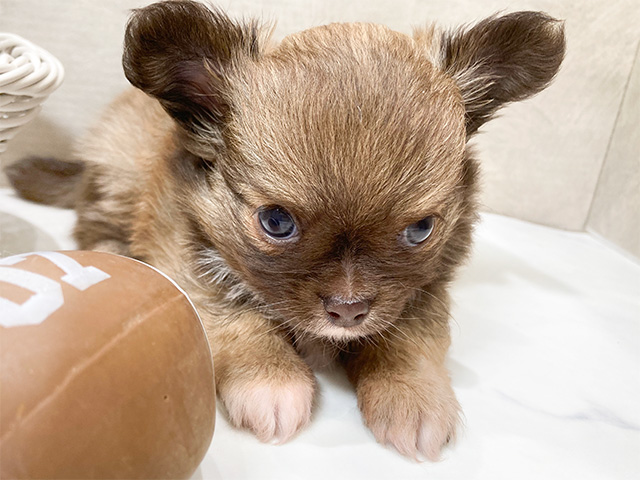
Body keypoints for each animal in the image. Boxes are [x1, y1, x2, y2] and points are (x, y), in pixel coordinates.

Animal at [6, 0, 564, 460]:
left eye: (421, 229)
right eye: (276, 222)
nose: (348, 310)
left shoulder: (422, 289)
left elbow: (409, 336)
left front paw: (413, 397)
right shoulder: (187, 260)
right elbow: (240, 317)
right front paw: (272, 381)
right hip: (117, 172)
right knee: (91, 225)